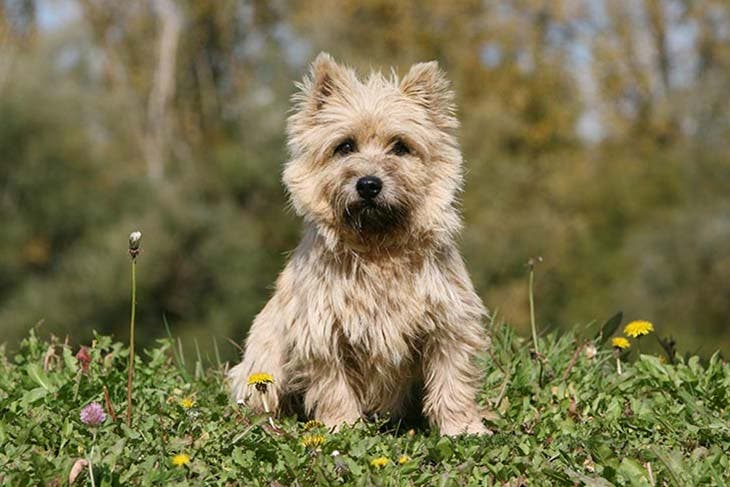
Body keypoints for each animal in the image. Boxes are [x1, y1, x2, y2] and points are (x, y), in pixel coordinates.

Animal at [228, 51, 490, 436]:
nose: (368, 184)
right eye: (345, 146)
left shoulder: (448, 325)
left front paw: (463, 428)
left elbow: (451, 380)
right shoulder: (322, 333)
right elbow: (334, 387)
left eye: (400, 147)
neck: (378, 248)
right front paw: (343, 427)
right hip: (264, 363)